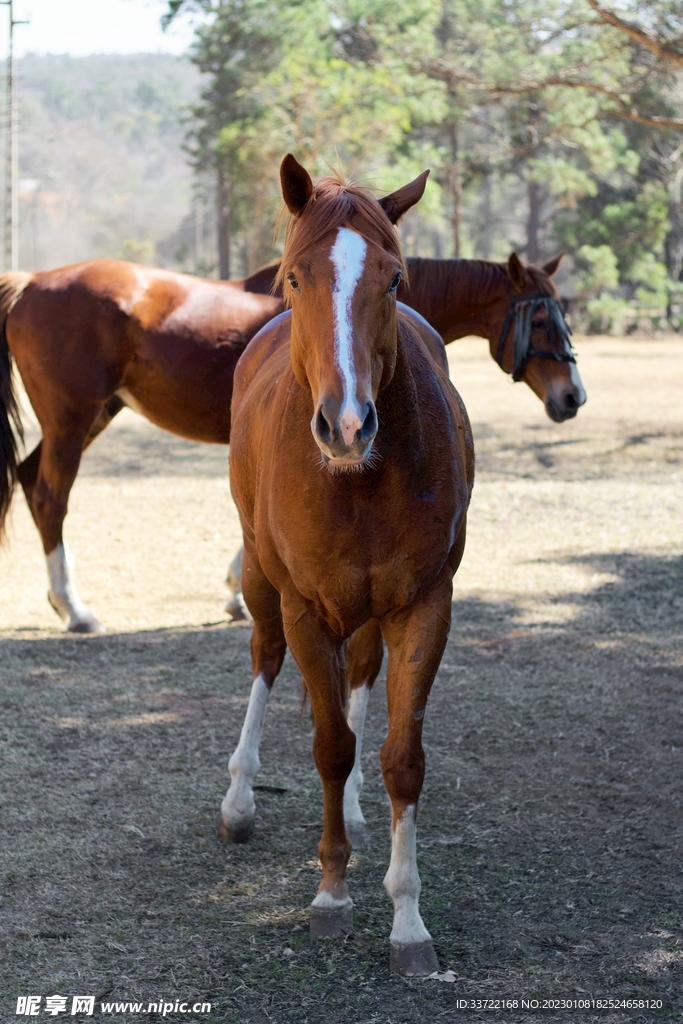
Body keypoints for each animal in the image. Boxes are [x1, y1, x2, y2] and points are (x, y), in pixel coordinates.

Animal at [0, 236, 583, 634]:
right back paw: (75, 609)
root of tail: (32, 282)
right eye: (541, 321)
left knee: (28, 480)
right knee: (50, 496)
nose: (572, 396)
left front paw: (236, 591)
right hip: (72, 420)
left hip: (93, 416)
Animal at [220, 154, 474, 976]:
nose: (348, 424)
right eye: (295, 277)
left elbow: (400, 757)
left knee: (359, 676)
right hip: (260, 578)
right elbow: (330, 746)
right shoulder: (304, 606)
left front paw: (408, 921)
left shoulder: (423, 604)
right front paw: (330, 896)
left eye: (394, 279)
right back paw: (238, 802)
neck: (356, 483)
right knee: (265, 657)